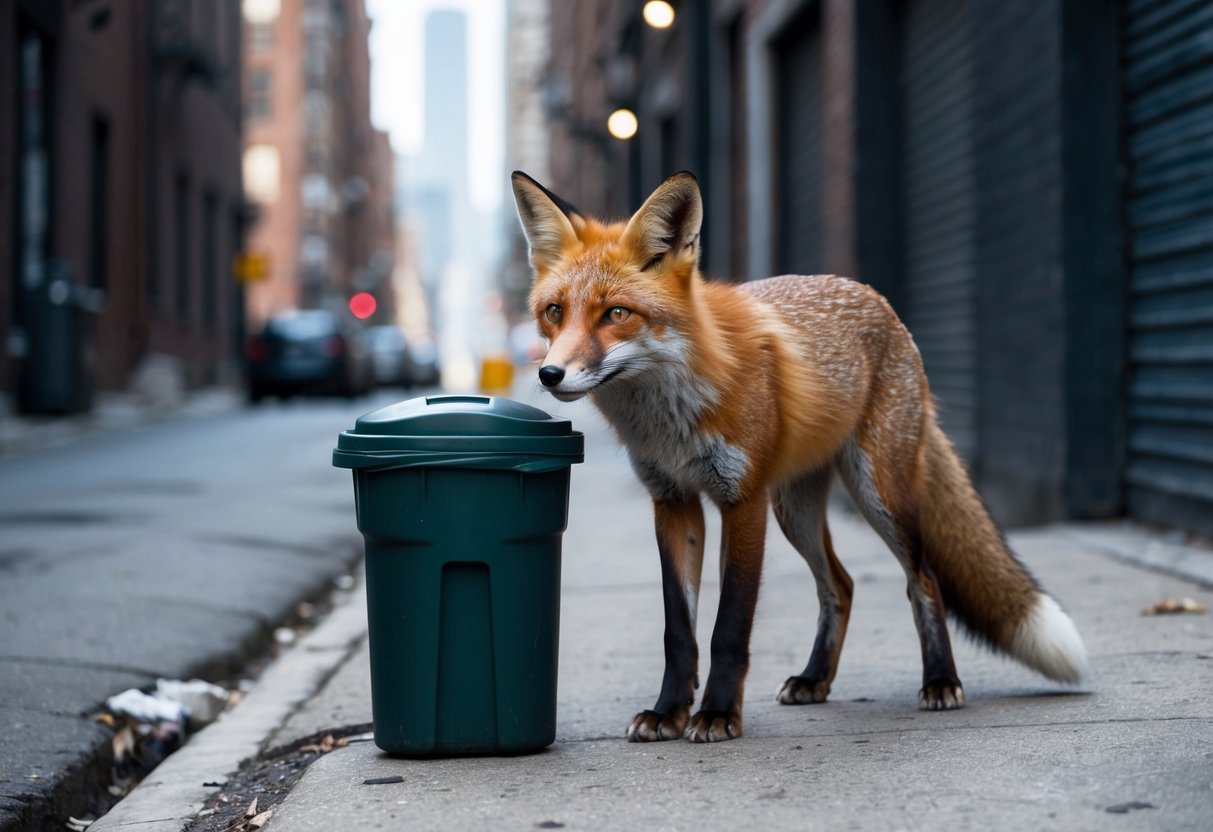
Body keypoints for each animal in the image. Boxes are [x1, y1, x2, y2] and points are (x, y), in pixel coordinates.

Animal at [510, 169, 1088, 743]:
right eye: (555, 312)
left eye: (616, 314)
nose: (550, 374)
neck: (671, 416)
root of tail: (878, 300)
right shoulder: (673, 502)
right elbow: (679, 631)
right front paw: (669, 712)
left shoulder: (743, 501)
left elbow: (729, 626)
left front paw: (717, 714)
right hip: (796, 510)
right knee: (842, 585)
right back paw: (815, 679)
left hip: (879, 495)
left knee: (921, 581)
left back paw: (941, 681)